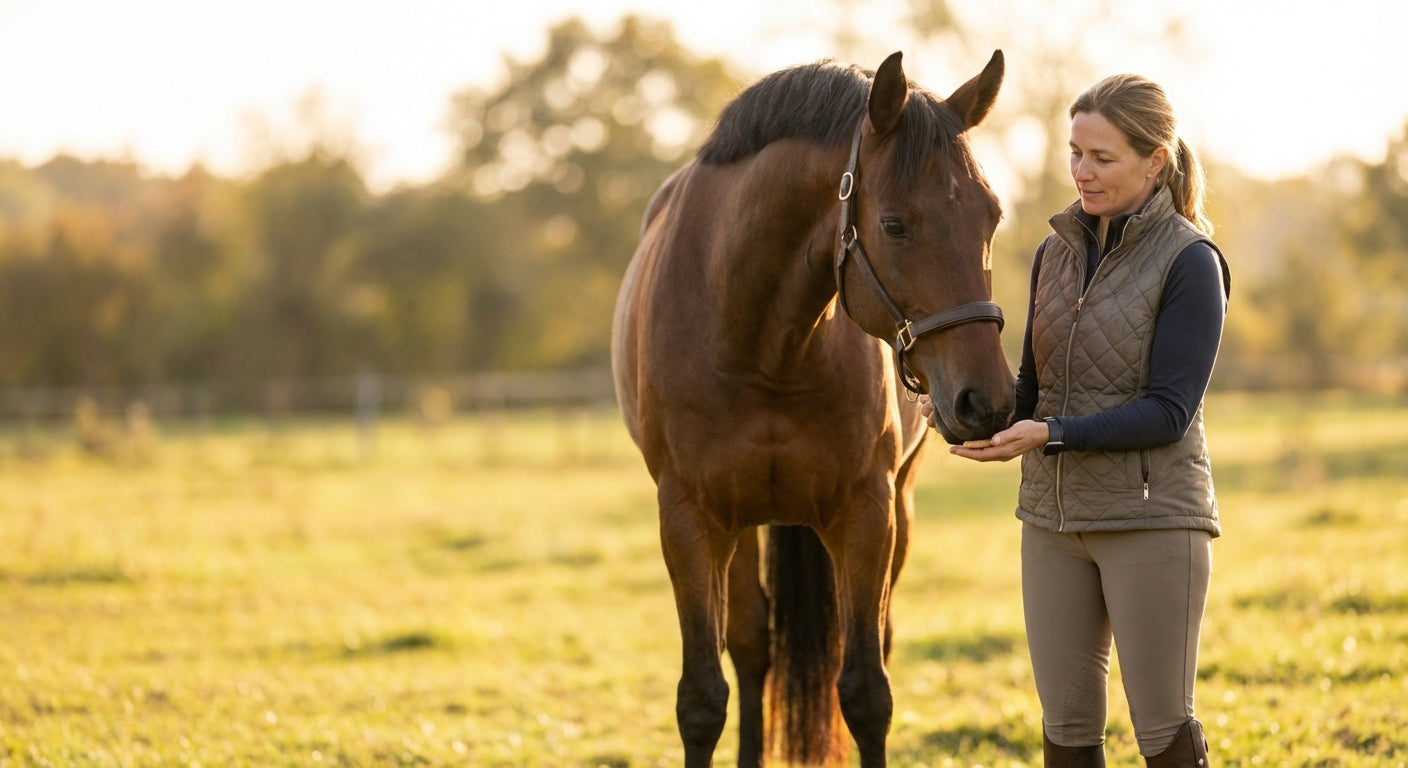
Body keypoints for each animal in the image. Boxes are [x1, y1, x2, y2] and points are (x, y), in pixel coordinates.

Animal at [611, 50, 1014, 767]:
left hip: (896, 509)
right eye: (894, 225)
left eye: (992, 218)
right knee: (752, 646)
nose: (986, 400)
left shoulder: (867, 514)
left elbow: (867, 692)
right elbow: (701, 699)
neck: (762, 348)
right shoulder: (688, 520)